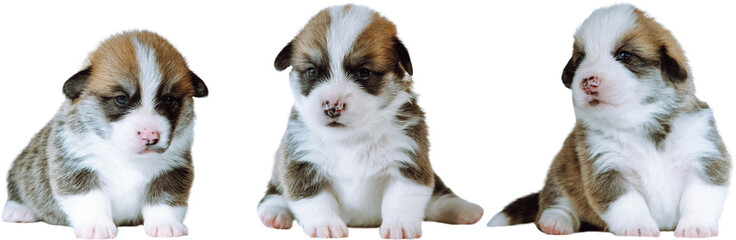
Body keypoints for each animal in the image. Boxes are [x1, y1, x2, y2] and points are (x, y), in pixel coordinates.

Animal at [1, 30, 208, 238]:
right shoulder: (75, 168)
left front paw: (166, 225)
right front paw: (96, 227)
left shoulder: (173, 170)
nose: (150, 136)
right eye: (121, 99)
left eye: (169, 100)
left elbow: (165, 201)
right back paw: (18, 210)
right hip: (20, 168)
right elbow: (91, 200)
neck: (126, 156)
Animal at [256, 4, 486, 240]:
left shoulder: (409, 161)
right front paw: (326, 225)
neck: (350, 140)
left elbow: (402, 198)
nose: (332, 106)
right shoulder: (301, 162)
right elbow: (314, 199)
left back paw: (464, 209)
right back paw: (275, 214)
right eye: (312, 71)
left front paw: (399, 226)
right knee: (273, 195)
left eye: (364, 72)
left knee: (438, 195)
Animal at [486, 4, 732, 238]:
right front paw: (638, 227)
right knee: (557, 201)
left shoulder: (704, 156)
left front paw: (696, 227)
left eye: (624, 56)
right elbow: (628, 202)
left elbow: (699, 197)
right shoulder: (605, 168)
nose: (587, 82)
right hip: (561, 171)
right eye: (581, 59)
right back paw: (556, 222)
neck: (639, 123)